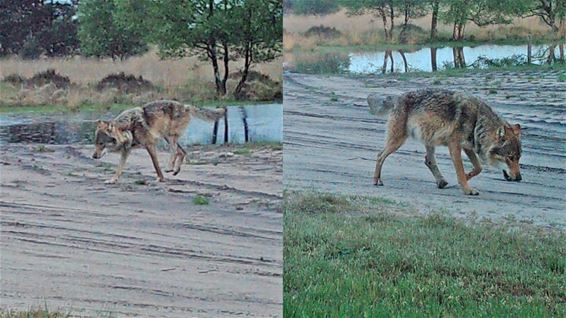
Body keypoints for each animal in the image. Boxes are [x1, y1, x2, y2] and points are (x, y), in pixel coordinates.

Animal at [93, 99, 226, 184]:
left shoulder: (150, 145)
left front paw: (161, 178)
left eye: (101, 144)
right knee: (182, 152)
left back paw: (169, 167)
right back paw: (175, 170)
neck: (128, 128)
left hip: (169, 136)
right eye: (96, 143)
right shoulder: (126, 150)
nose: (93, 156)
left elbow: (155, 165)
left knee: (174, 151)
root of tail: (185, 106)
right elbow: (119, 168)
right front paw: (112, 180)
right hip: (167, 137)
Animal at [368, 88, 524, 195]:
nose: (519, 178)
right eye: (510, 157)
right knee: (379, 155)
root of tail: (398, 97)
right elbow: (460, 170)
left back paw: (441, 182)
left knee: (429, 160)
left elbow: (478, 168)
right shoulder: (454, 145)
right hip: (397, 141)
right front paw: (467, 189)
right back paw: (376, 180)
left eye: (518, 158)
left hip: (428, 139)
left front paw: (467, 178)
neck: (477, 121)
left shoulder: (467, 147)